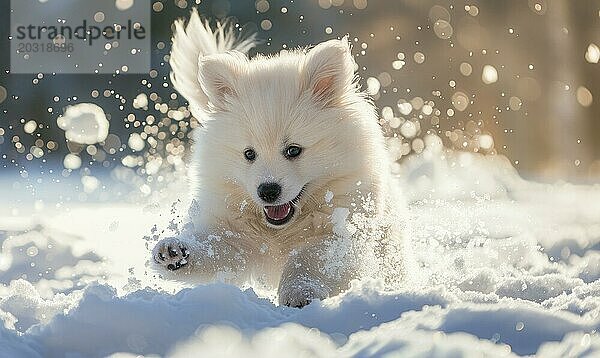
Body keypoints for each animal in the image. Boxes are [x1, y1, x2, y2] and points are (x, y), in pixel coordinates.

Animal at [155, 9, 408, 308]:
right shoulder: (234, 231)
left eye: (293, 150)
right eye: (249, 154)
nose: (267, 191)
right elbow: (216, 248)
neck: (281, 230)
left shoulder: (342, 230)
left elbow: (307, 258)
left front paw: (299, 293)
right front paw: (173, 252)